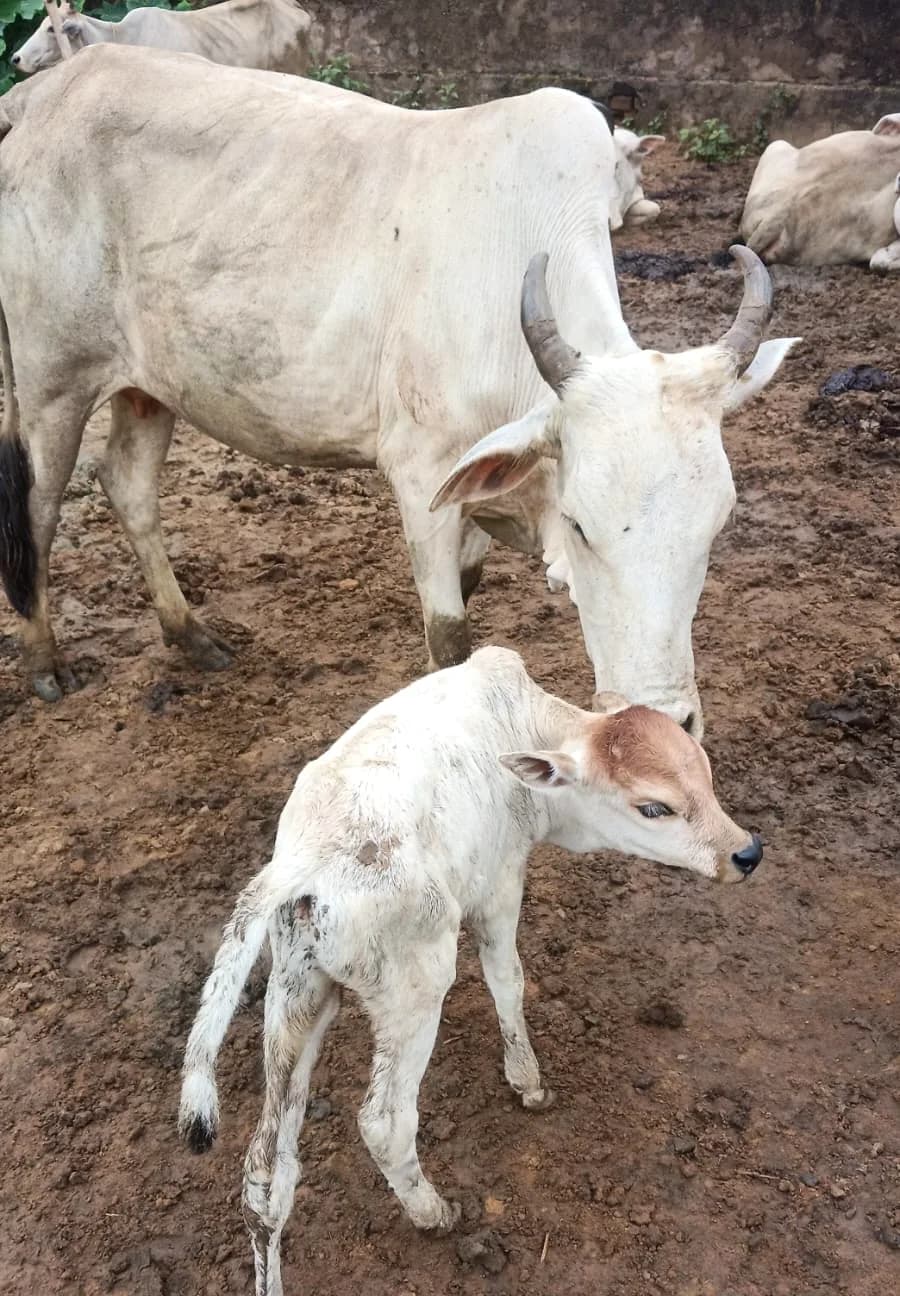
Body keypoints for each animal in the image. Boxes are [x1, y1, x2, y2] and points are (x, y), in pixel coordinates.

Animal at [0, 47, 798, 731]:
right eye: (579, 524)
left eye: (717, 525)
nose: (664, 719)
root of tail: (43, 96)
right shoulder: (420, 475)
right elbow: (448, 636)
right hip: (50, 378)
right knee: (37, 506)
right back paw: (46, 662)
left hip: (150, 385)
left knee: (128, 484)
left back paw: (191, 635)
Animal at [177, 645, 763, 1292]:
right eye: (653, 808)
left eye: (704, 773)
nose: (746, 852)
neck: (523, 724)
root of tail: (303, 862)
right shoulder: (500, 885)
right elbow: (508, 981)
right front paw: (528, 1082)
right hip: (416, 989)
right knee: (383, 1122)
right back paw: (433, 1213)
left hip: (297, 997)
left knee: (265, 1175)